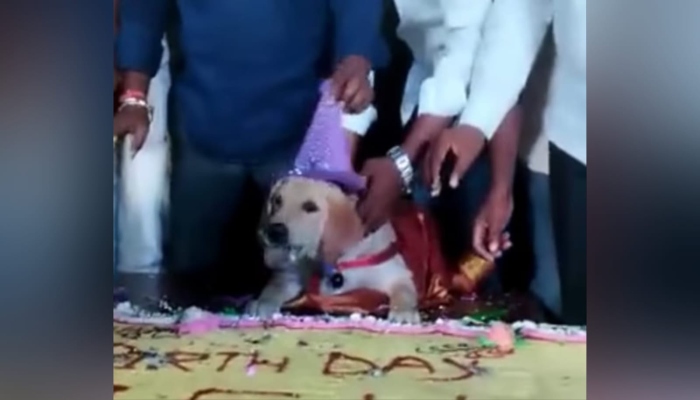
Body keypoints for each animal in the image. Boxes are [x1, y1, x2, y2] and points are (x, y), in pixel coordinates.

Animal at [247, 177, 422, 324]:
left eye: (310, 207)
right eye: (277, 201)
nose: (274, 232)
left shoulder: (397, 274)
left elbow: (404, 291)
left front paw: (404, 312)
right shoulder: (289, 275)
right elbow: (273, 288)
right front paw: (262, 302)